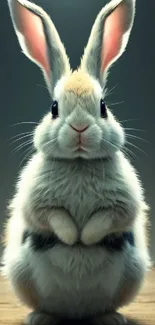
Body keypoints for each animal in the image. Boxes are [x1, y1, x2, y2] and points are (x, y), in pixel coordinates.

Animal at [1, 0, 151, 324]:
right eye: (54, 108)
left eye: (103, 107)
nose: (79, 128)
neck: (79, 163)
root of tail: (76, 313)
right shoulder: (37, 203)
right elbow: (55, 217)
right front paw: (73, 239)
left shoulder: (121, 205)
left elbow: (105, 219)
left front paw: (87, 238)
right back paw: (40, 317)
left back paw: (110, 317)